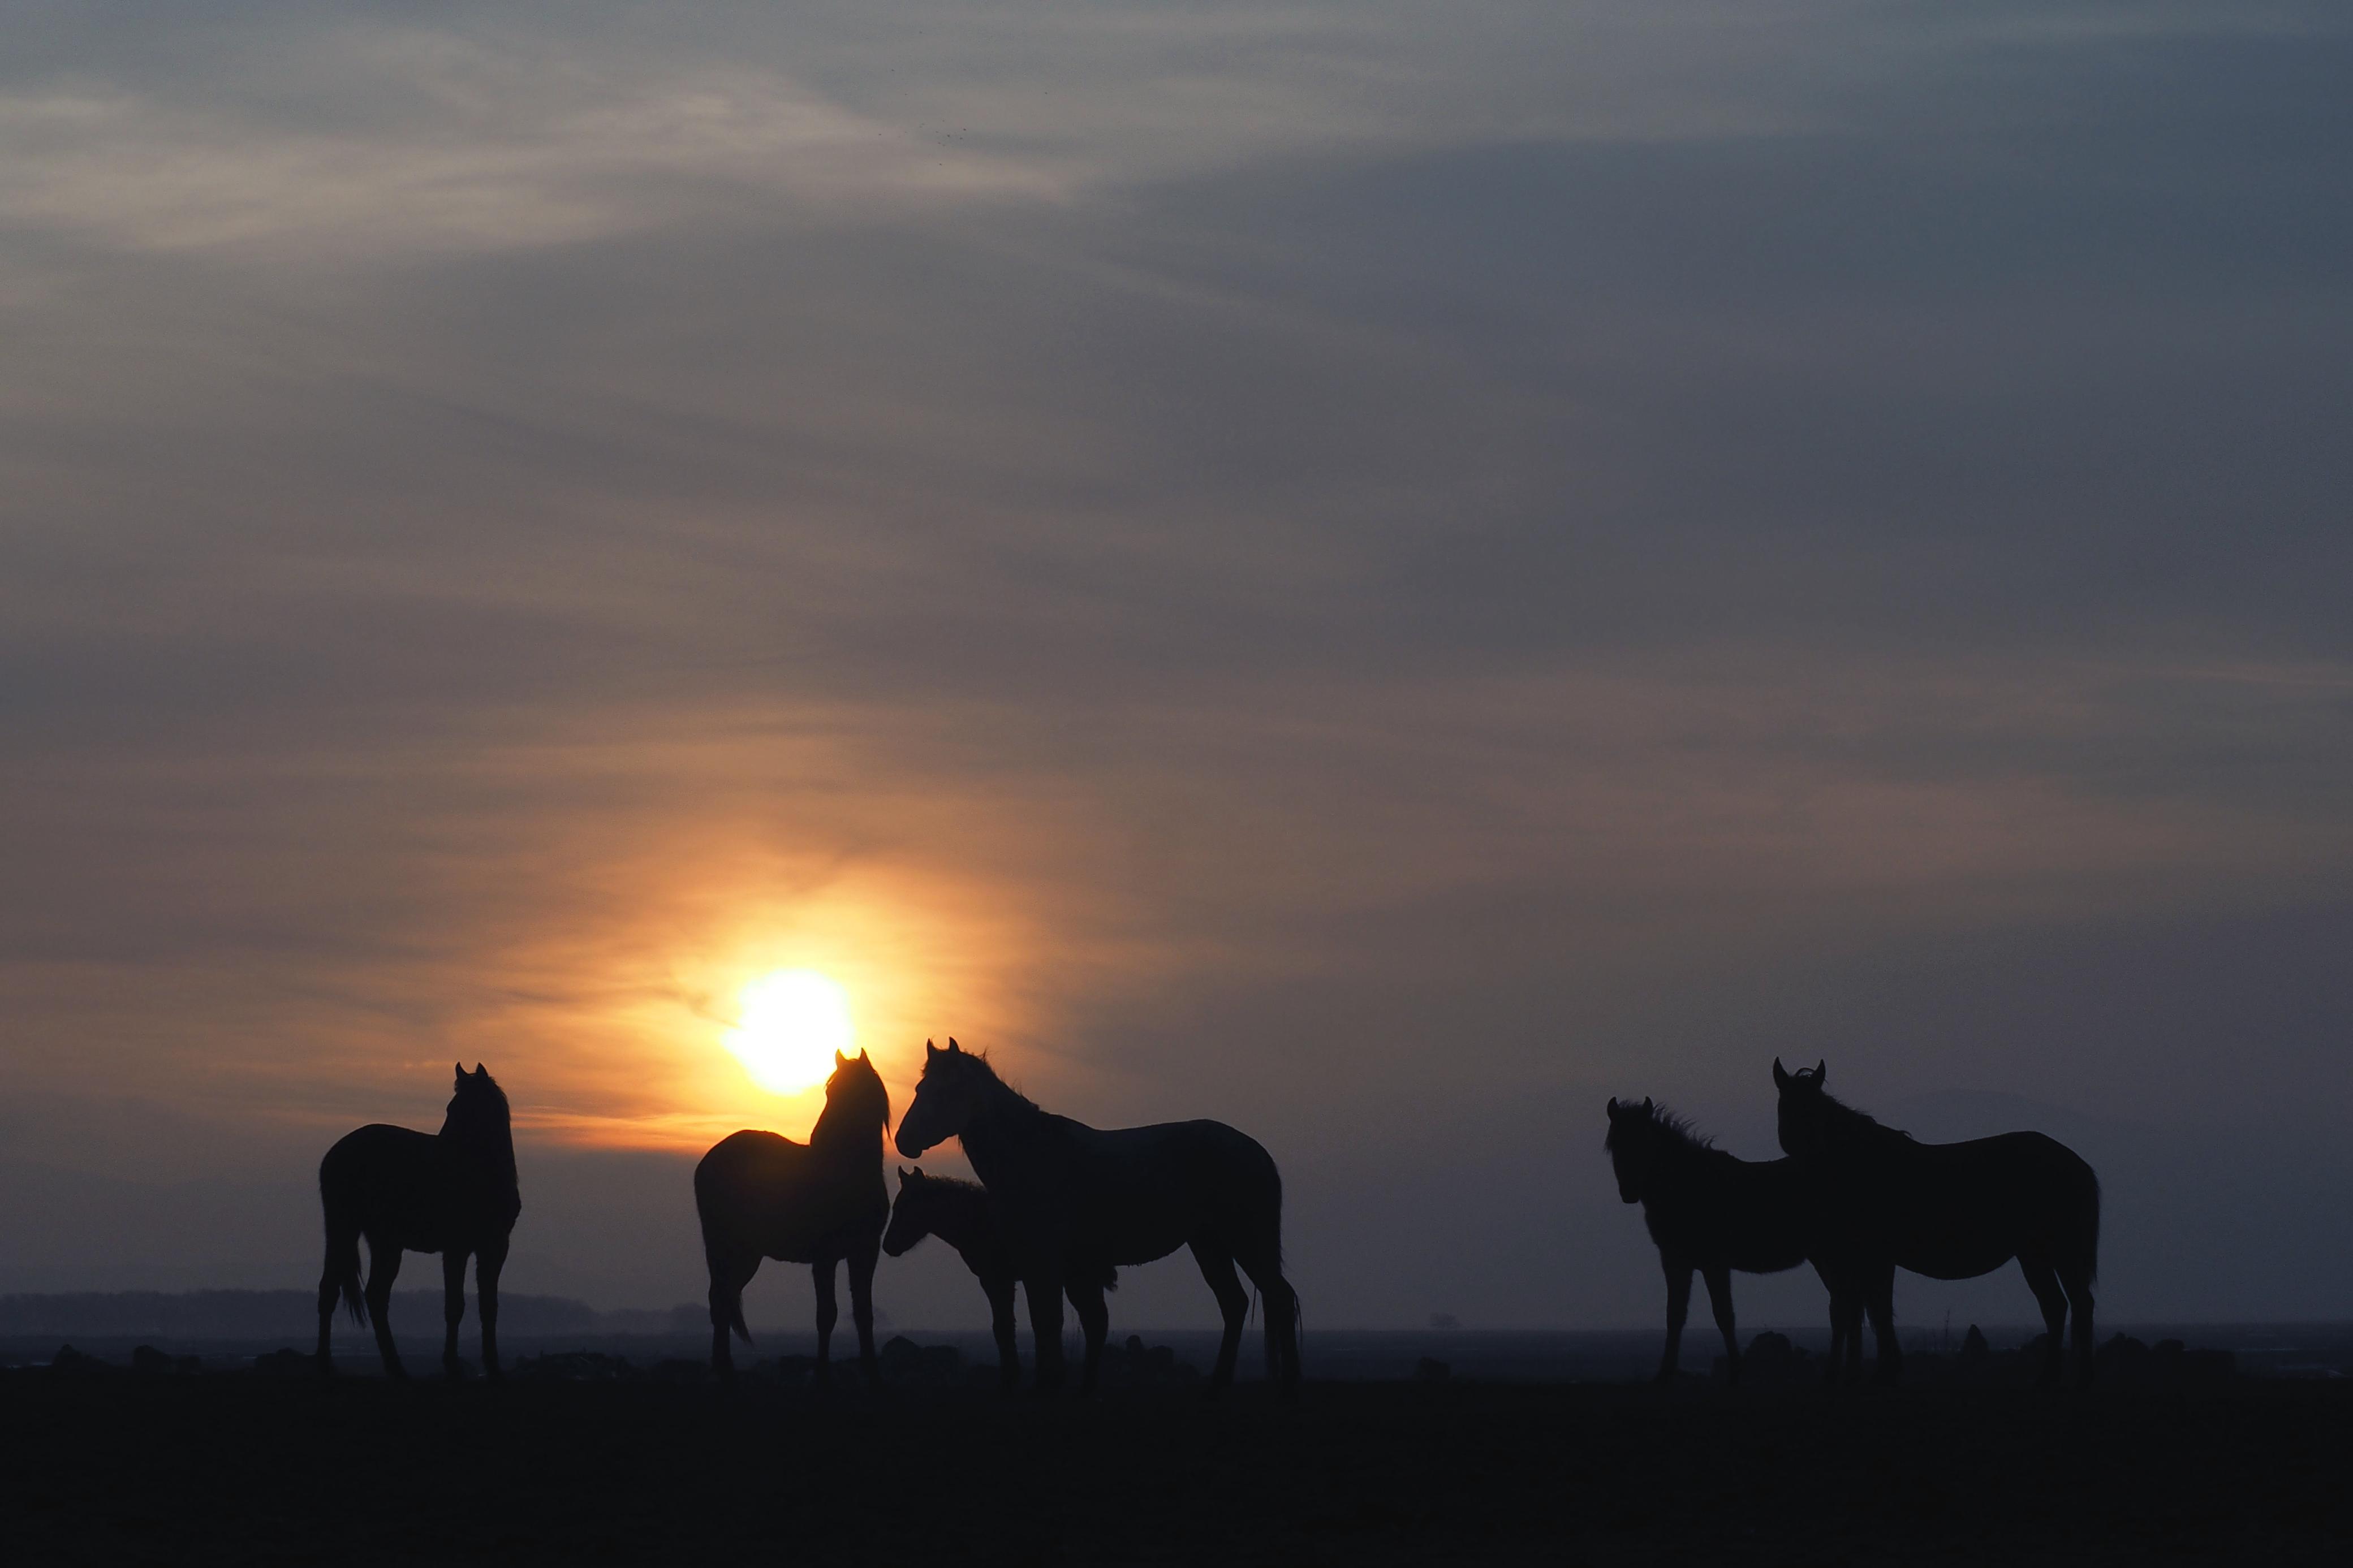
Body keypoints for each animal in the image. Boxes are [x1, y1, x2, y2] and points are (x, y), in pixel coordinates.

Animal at [315, 1062, 522, 1382]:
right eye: (452, 1109)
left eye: (470, 1109)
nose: (442, 1152)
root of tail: (334, 1155)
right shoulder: (456, 1249)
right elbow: (455, 1307)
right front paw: (452, 1365)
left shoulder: (496, 1248)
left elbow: (489, 1307)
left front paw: (493, 1366)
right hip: (344, 1230)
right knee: (334, 1291)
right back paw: (329, 1366)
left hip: (383, 1242)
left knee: (372, 1295)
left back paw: (394, 1368)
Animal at [696, 1048, 889, 1382]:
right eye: (829, 1092)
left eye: (853, 1091)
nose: (817, 1138)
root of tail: (708, 1160)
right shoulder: (825, 1257)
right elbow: (827, 1315)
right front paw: (822, 1375)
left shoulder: (865, 1251)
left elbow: (864, 1313)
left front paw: (872, 1374)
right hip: (728, 1250)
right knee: (720, 1301)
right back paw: (725, 1371)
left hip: (746, 1256)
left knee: (724, 1298)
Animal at [889, 1043, 1299, 1401]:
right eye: (920, 1088)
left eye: (945, 1090)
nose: (904, 1140)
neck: (1029, 1155)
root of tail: (1257, 1151)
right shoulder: (1036, 1268)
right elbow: (1040, 1323)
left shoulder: (1044, 1264)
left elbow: (1047, 1322)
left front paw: (1049, 1384)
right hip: (1209, 1244)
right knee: (1234, 1304)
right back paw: (1217, 1387)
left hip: (1247, 1241)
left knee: (1278, 1298)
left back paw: (1286, 1387)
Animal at [1769, 1062, 2108, 1392]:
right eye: (1786, 1107)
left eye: (1814, 1111)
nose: (1807, 1155)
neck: (1862, 1164)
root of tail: (2076, 1164)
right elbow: (1876, 1310)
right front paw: (1885, 1371)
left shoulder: (1877, 1257)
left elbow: (1879, 1311)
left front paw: (1885, 1373)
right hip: (2034, 1255)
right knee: (2056, 1307)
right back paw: (2049, 1377)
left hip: (2063, 1251)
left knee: (2080, 1304)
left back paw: (2082, 1377)